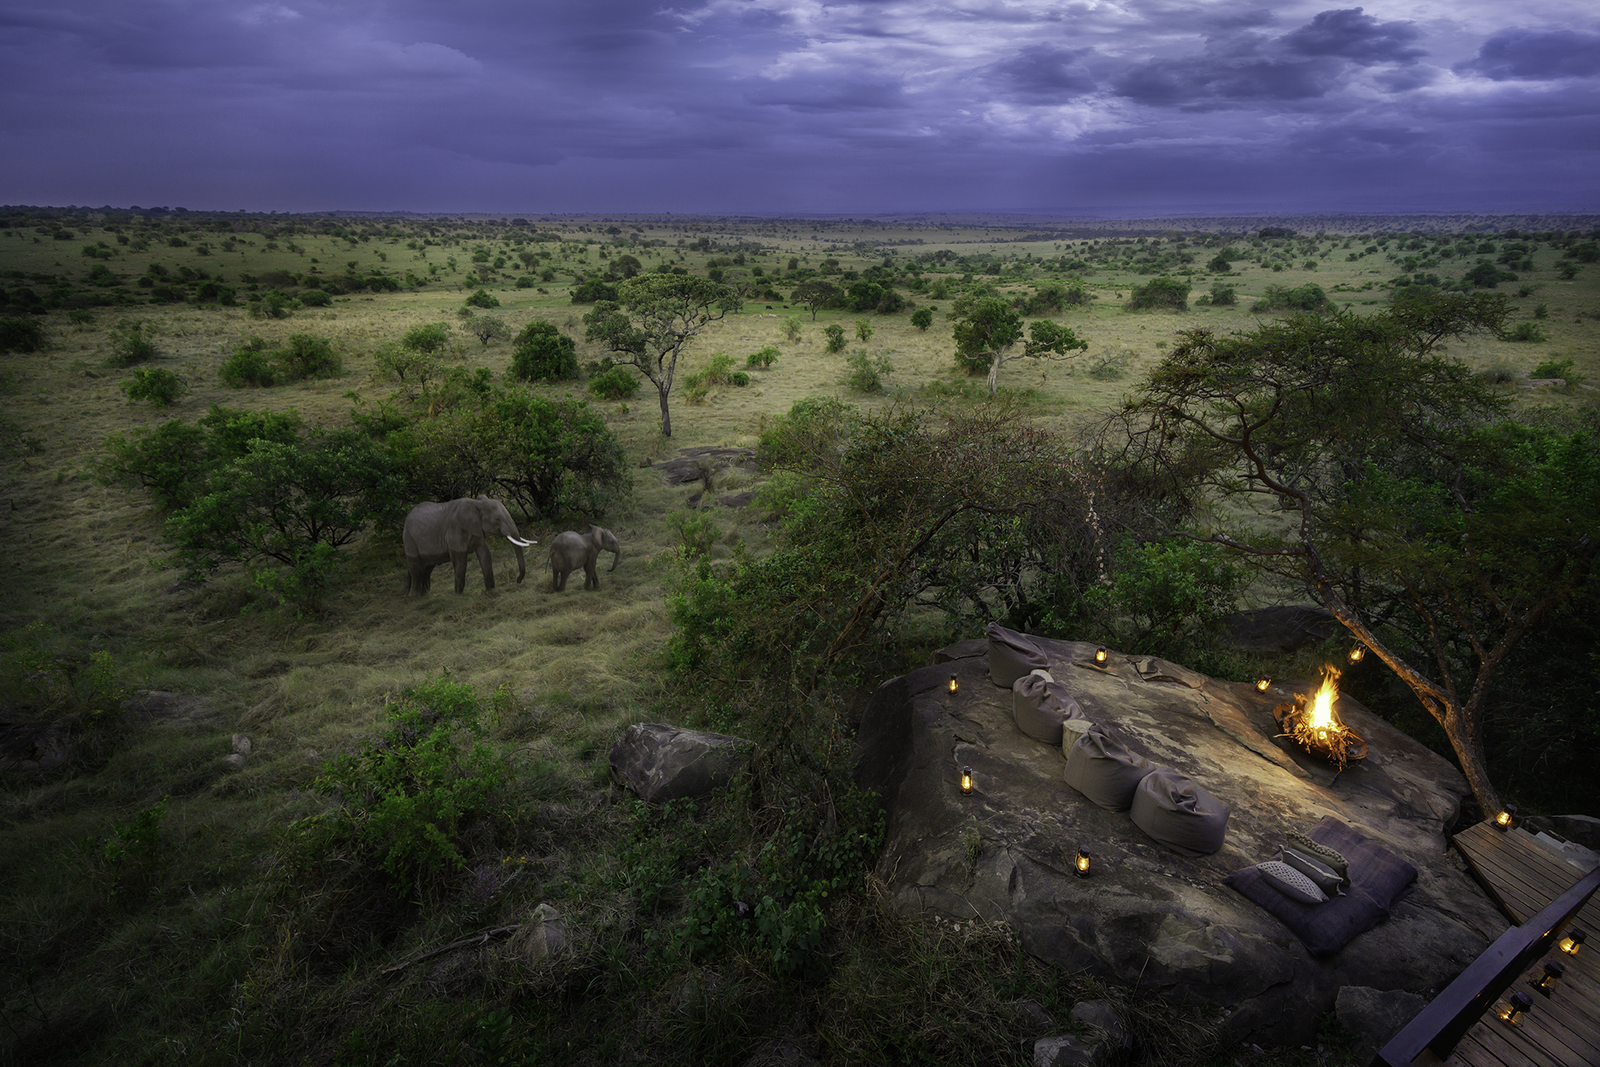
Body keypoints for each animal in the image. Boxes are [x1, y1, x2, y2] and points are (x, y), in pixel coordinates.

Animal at [403, 495, 536, 595]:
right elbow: (460, 559)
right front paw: (458, 595)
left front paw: (491, 591)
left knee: (427, 568)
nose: (517, 581)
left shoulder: (478, 530)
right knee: (416, 569)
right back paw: (416, 597)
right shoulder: (455, 530)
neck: (477, 504)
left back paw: (425, 595)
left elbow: (485, 553)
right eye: (498, 519)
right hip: (409, 540)